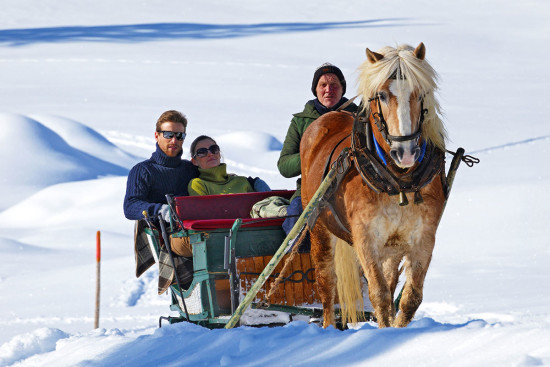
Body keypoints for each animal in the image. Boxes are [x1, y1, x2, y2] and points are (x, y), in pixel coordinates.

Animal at [302, 43, 448, 330]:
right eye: (382, 95)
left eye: (420, 93)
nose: (406, 152)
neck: (398, 182)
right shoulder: (365, 238)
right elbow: (378, 294)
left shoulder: (423, 237)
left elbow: (409, 297)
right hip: (319, 228)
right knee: (327, 285)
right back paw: (327, 327)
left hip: (392, 247)